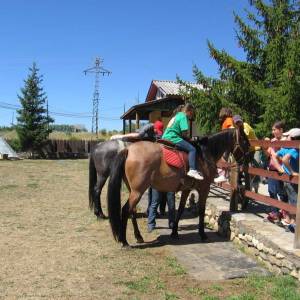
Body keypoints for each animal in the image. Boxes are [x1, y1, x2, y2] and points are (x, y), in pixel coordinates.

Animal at [106, 126, 250, 246]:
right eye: (245, 141)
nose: (246, 161)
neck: (204, 154)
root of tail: (128, 150)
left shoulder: (186, 189)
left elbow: (180, 210)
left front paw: (174, 232)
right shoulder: (204, 189)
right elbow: (201, 211)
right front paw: (202, 234)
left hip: (133, 190)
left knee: (132, 211)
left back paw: (138, 236)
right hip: (137, 191)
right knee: (126, 210)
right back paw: (124, 241)